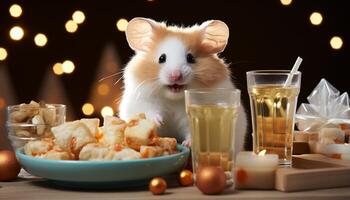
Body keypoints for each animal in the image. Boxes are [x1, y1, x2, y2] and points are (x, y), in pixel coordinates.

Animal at [119, 18, 247, 152]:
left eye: (190, 58)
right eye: (161, 58)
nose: (176, 76)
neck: (174, 99)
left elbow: (191, 132)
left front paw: (187, 144)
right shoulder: (142, 101)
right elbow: (150, 112)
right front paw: (159, 121)